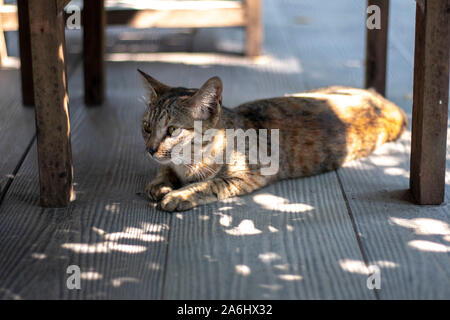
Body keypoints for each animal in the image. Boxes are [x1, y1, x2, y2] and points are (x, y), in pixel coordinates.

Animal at [138, 69, 408, 211]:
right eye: (146, 127)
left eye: (173, 130)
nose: (149, 150)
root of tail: (382, 99)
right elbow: (165, 171)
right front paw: (160, 183)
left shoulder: (249, 175)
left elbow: (210, 184)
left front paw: (179, 195)